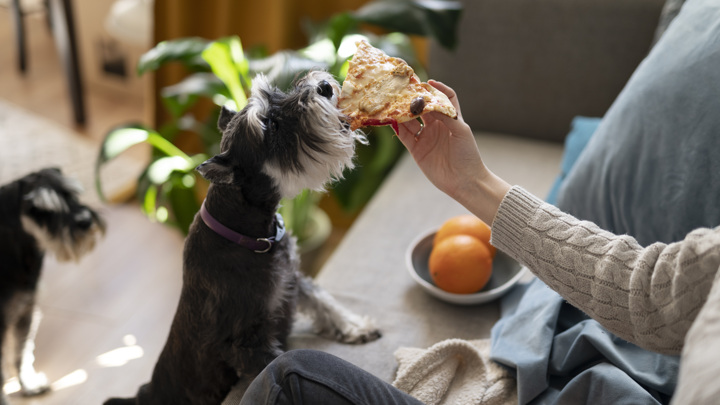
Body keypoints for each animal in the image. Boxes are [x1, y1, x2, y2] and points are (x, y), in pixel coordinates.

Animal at [0, 167, 105, 404]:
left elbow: (21, 353)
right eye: (40, 211)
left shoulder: (26, 311)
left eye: (72, 194)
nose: (85, 221)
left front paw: (29, 386)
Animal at [105, 71, 382, 402]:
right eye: (271, 126)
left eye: (274, 93)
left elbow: (323, 301)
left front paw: (354, 326)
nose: (324, 87)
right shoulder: (247, 342)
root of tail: (143, 394)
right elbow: (277, 358)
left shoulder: (292, 279)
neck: (247, 235)